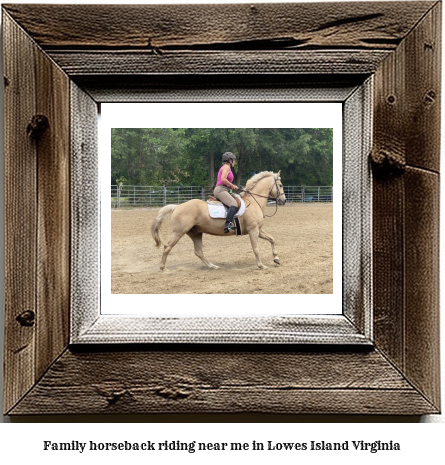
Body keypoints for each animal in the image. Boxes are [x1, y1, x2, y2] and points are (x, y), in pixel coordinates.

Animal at [151, 171, 286, 270]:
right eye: (280, 185)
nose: (284, 201)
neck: (253, 202)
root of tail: (177, 207)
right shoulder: (253, 230)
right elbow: (256, 248)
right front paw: (261, 266)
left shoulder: (258, 230)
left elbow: (272, 239)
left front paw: (276, 258)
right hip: (179, 232)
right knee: (167, 247)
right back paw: (163, 268)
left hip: (196, 233)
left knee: (198, 251)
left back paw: (213, 266)